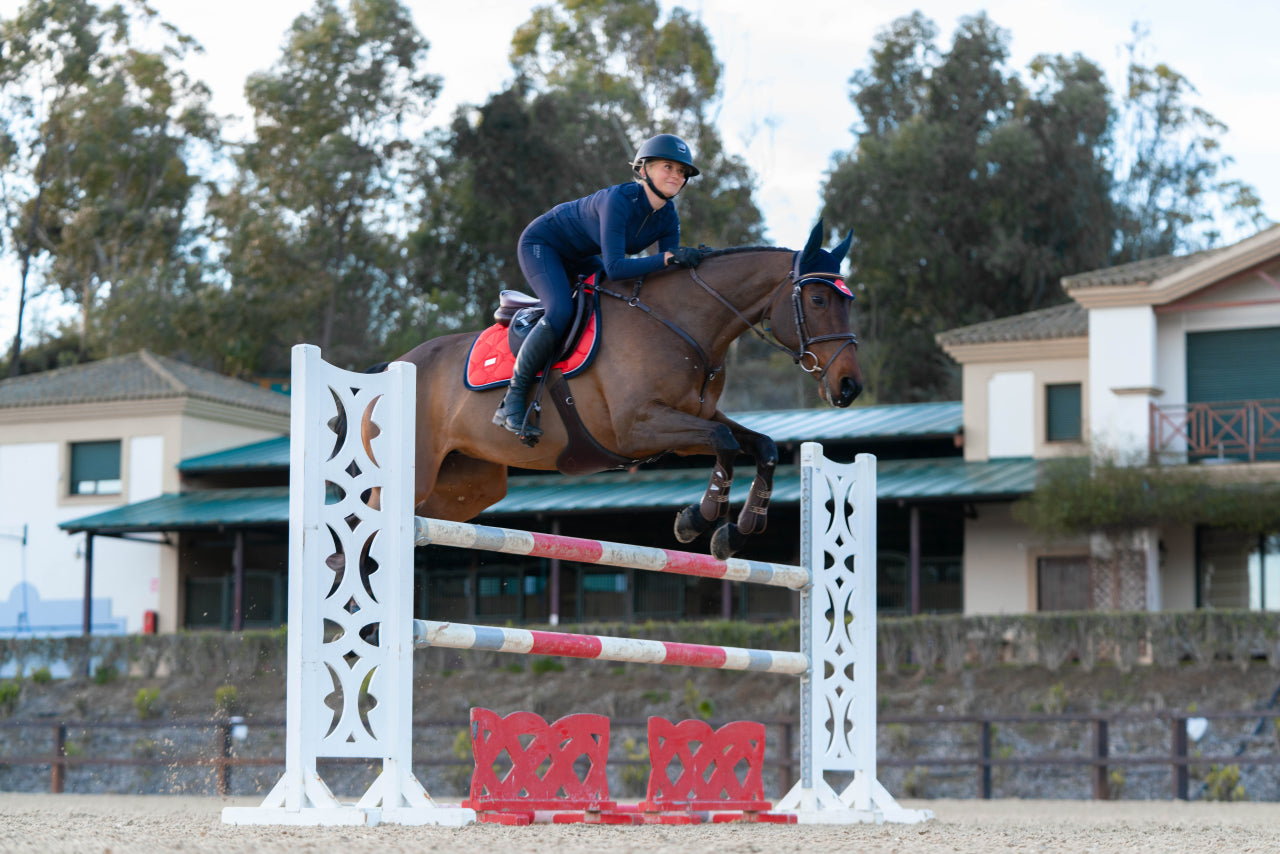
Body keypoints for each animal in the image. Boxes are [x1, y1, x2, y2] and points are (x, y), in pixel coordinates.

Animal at [373, 218, 865, 560]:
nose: (849, 387)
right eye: (818, 299)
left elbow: (761, 446)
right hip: (416, 473)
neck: (681, 323)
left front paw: (735, 531)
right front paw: (697, 519)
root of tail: (393, 367)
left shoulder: (690, 421)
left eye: (849, 302)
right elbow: (726, 442)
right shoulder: (637, 428)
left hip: (466, 486)